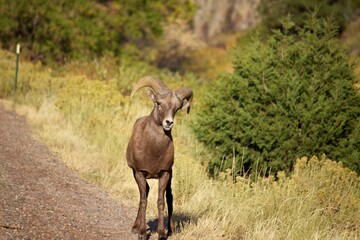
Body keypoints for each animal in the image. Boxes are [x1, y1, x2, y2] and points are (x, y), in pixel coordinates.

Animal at [127, 76, 194, 239]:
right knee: (144, 194)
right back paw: (135, 227)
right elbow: (143, 200)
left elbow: (161, 201)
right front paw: (142, 233)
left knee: (169, 197)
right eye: (159, 103)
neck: (153, 150)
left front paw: (162, 234)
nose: (168, 123)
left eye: (177, 108)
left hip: (170, 176)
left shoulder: (164, 174)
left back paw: (171, 230)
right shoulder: (139, 173)